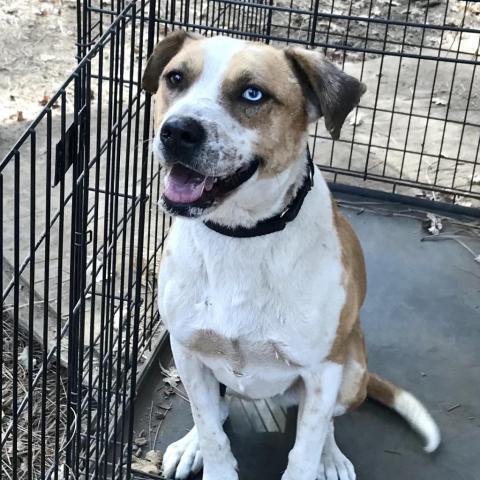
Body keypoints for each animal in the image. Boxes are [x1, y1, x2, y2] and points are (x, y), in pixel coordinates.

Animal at [143, 31, 442, 480]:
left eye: (253, 93)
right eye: (175, 78)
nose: (176, 131)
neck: (241, 236)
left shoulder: (322, 370)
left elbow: (305, 448)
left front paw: (318, 457)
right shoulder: (187, 351)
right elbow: (211, 429)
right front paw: (205, 449)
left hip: (351, 369)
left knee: (326, 423)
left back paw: (331, 458)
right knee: (217, 408)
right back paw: (192, 441)